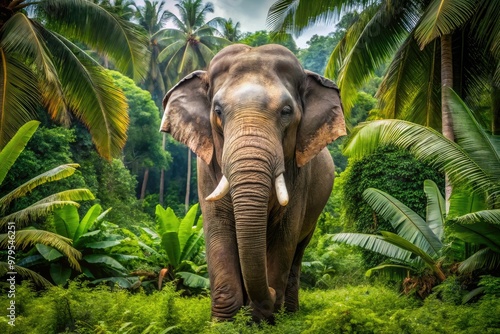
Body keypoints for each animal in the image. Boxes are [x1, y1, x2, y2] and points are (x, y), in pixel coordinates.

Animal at [162, 43, 346, 320]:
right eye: (217, 111)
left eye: (286, 111)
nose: (270, 292)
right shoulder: (205, 168)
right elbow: (218, 229)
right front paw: (225, 322)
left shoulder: (299, 173)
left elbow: (284, 235)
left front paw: (263, 319)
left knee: (298, 250)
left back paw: (289, 312)